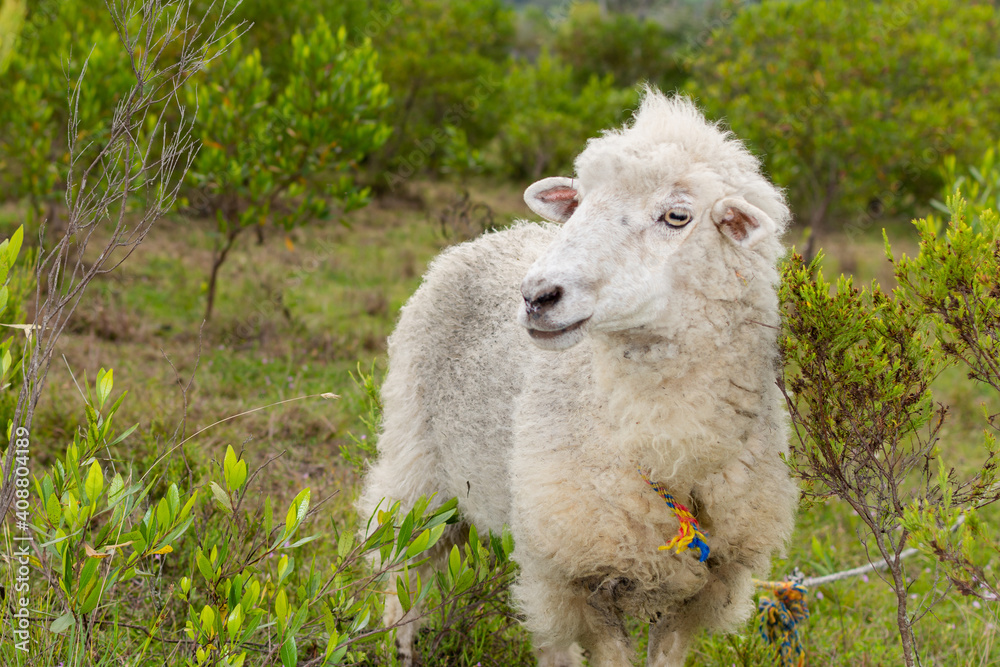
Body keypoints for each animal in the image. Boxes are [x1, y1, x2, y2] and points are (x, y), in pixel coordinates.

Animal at [358, 87, 798, 667]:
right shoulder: (579, 572)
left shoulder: (702, 587)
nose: (536, 296)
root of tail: (486, 237)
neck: (670, 453)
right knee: (406, 571)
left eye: (677, 215)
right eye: (580, 202)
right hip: (419, 465)